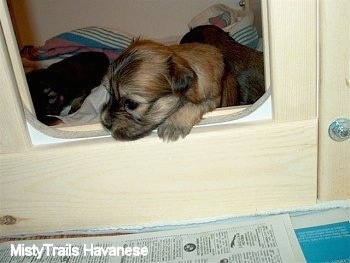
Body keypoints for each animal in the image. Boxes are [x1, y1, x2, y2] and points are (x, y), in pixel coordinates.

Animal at [100, 39, 239, 141]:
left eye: (131, 104)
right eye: (110, 93)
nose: (105, 123)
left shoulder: (213, 98)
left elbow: (193, 105)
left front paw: (173, 125)